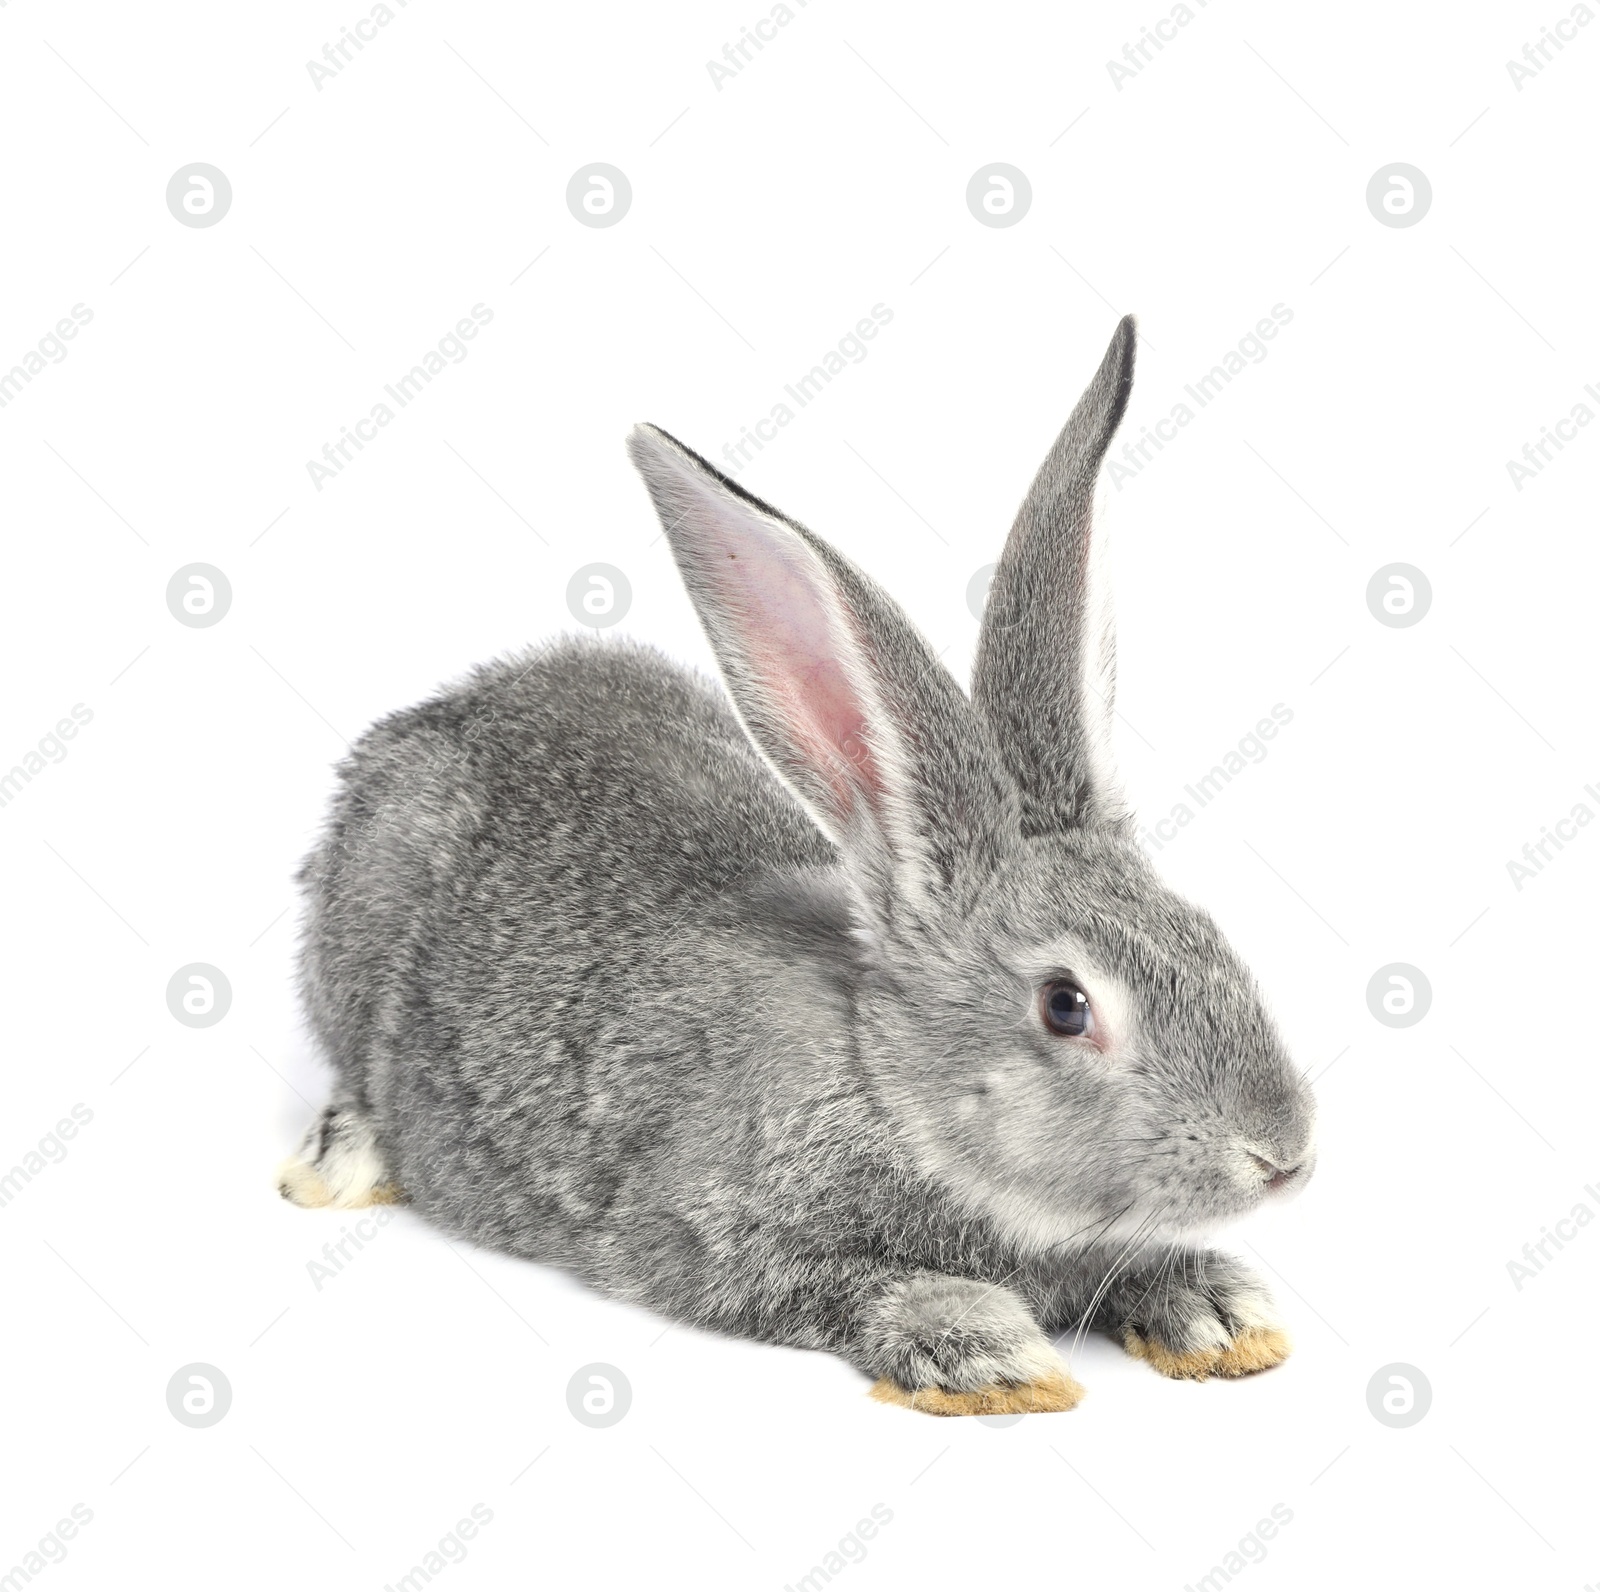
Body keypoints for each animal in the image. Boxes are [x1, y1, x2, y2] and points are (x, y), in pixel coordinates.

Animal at [281, 316, 1318, 1414]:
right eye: (1065, 1005)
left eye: (1209, 934)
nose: (1283, 1156)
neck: (888, 1084)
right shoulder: (700, 1232)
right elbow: (833, 1282)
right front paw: (985, 1350)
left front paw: (1217, 1312)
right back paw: (339, 1158)